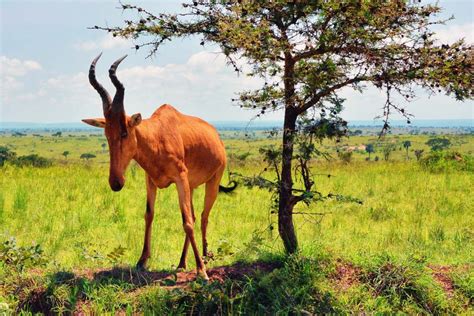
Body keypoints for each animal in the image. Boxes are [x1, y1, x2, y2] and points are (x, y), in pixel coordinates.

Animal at [83, 54, 237, 278]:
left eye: (124, 132)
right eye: (106, 134)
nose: (116, 182)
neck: (158, 134)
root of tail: (217, 136)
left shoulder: (180, 178)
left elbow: (187, 222)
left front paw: (202, 272)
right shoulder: (151, 181)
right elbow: (149, 215)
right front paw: (141, 261)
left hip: (213, 182)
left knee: (202, 217)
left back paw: (205, 258)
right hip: (191, 186)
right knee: (193, 214)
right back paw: (181, 263)